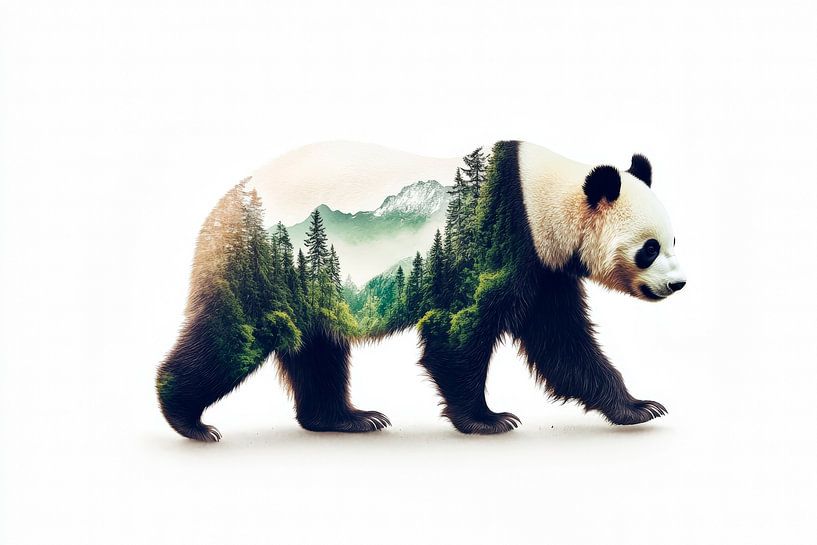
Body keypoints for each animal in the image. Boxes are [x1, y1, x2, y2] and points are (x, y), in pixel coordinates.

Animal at [156, 140, 686, 441]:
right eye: (649, 248)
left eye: (674, 240)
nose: (677, 283)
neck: (543, 198)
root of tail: (218, 212)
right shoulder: (500, 235)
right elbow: (457, 330)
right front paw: (488, 419)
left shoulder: (545, 267)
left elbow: (562, 342)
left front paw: (639, 407)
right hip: (262, 261)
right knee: (231, 337)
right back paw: (187, 418)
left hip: (308, 284)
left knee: (317, 350)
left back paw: (347, 419)